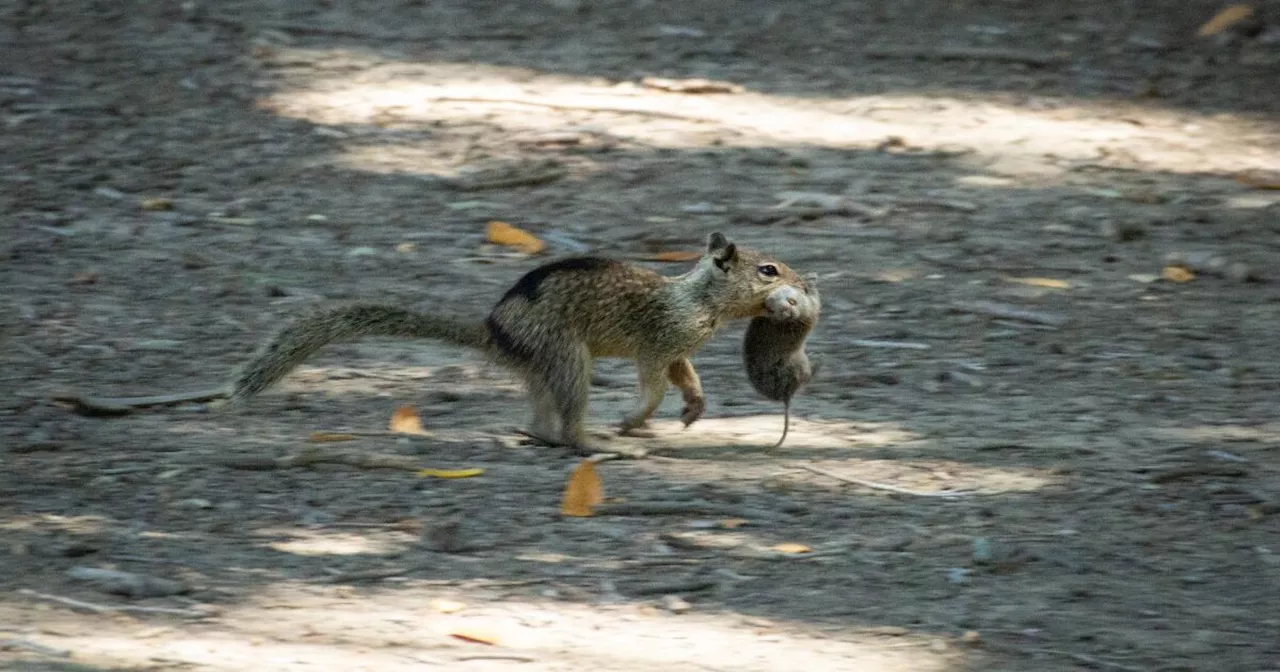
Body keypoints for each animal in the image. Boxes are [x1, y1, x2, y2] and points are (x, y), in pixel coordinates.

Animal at [229, 231, 798, 455]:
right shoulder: (658, 343)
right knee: (567, 425)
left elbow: (687, 376)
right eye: (768, 270)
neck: (698, 298)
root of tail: (493, 331)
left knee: (541, 421)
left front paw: (693, 408)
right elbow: (655, 383)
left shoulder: (678, 348)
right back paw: (597, 442)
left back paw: (543, 436)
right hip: (567, 357)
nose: (804, 282)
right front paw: (635, 418)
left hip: (545, 367)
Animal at [742, 275, 819, 448]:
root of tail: (786, 395)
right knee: (807, 378)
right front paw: (810, 281)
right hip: (801, 367)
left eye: (792, 301)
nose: (789, 312)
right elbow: (815, 300)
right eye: (772, 309)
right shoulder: (811, 310)